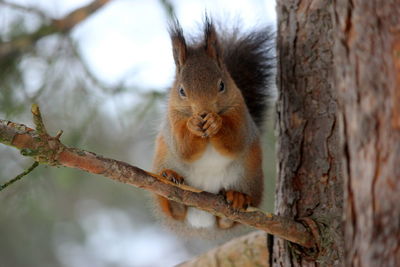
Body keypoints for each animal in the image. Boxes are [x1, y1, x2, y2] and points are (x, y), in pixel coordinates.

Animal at [152, 15, 274, 231]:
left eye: (222, 85)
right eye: (181, 91)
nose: (203, 113)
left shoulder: (241, 114)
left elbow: (235, 140)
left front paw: (216, 122)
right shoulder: (172, 120)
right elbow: (183, 147)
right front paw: (193, 124)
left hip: (248, 175)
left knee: (227, 221)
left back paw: (237, 197)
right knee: (175, 211)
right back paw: (171, 185)